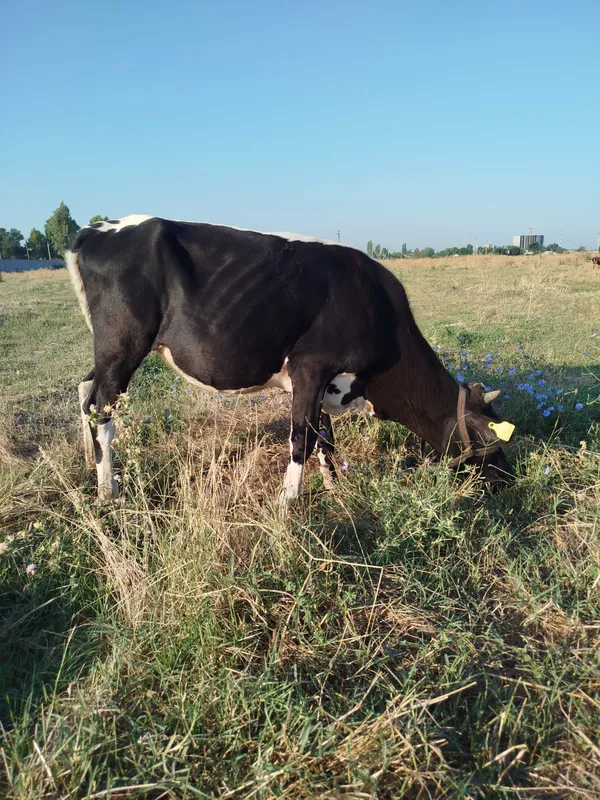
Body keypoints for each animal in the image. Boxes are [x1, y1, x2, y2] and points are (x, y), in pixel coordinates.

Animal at [66, 215, 515, 504]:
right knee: (102, 407)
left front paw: (335, 490)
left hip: (111, 349)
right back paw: (108, 491)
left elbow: (325, 437)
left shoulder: (328, 382)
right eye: (491, 441)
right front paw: (288, 502)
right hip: (123, 343)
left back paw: (90, 463)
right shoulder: (310, 368)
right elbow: (302, 437)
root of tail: (97, 228)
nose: (509, 481)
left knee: (87, 392)